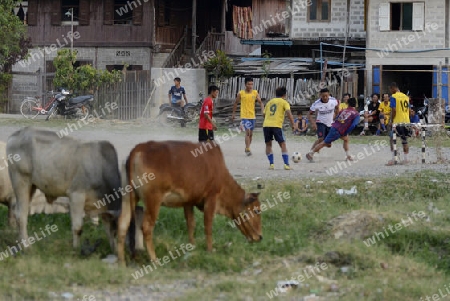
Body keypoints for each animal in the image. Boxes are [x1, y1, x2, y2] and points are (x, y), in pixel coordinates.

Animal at [117, 139, 264, 264]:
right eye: (257, 210)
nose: (260, 237)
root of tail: (139, 148)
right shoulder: (211, 198)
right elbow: (208, 226)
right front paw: (210, 250)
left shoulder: (188, 202)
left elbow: (191, 224)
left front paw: (192, 246)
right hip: (153, 200)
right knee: (147, 227)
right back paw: (154, 259)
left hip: (128, 197)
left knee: (123, 224)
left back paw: (122, 262)